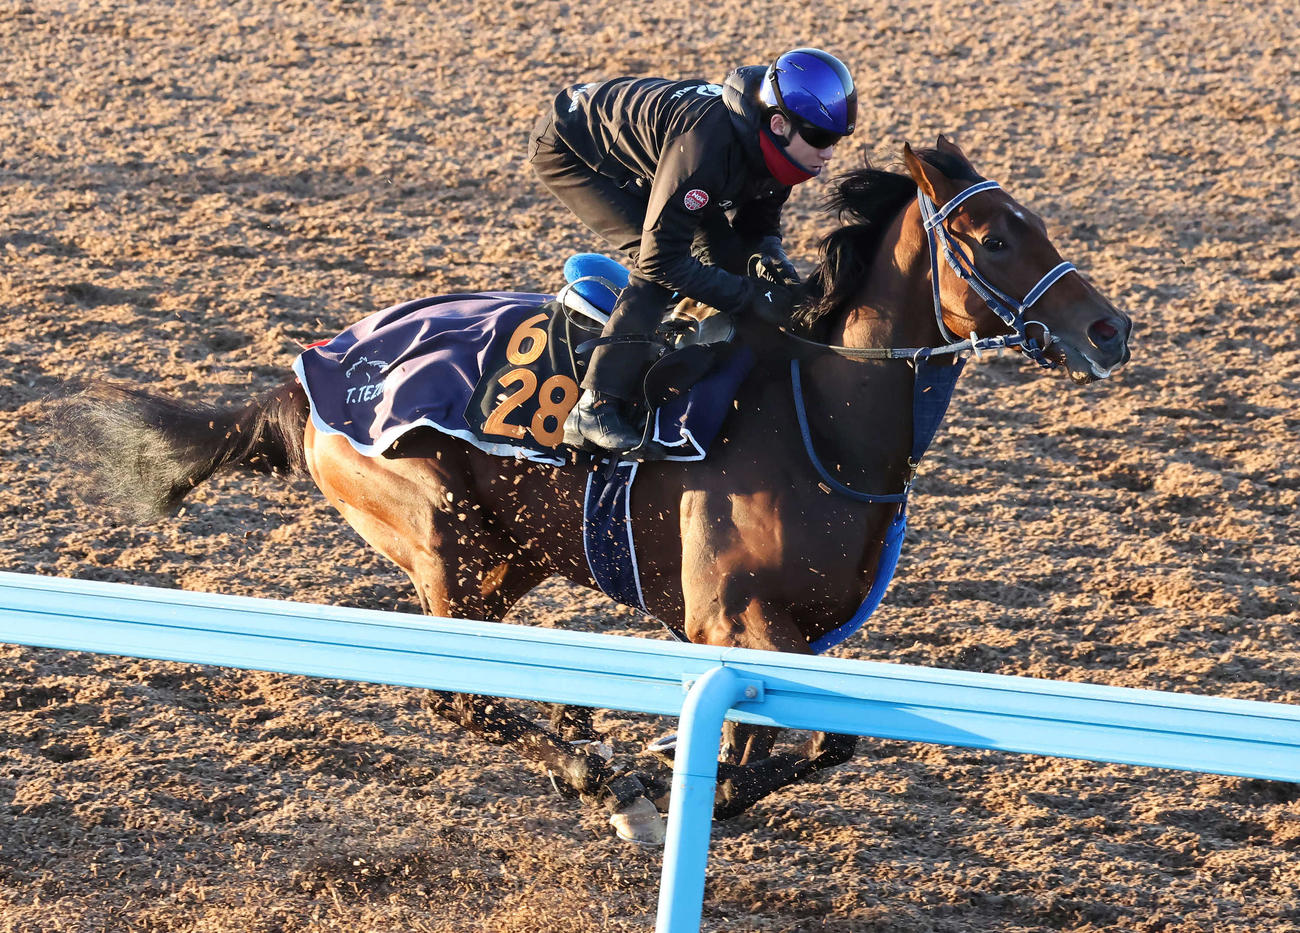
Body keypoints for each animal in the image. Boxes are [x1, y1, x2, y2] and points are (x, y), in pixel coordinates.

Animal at [53, 136, 1132, 844]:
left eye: (1036, 223)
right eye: (994, 238)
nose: (1108, 329)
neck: (822, 420)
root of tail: (312, 374)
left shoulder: (790, 640)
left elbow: (816, 744)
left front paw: (701, 782)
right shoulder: (728, 618)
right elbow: (798, 738)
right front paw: (660, 777)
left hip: (511, 554)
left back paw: (595, 755)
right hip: (442, 536)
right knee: (457, 693)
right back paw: (596, 774)